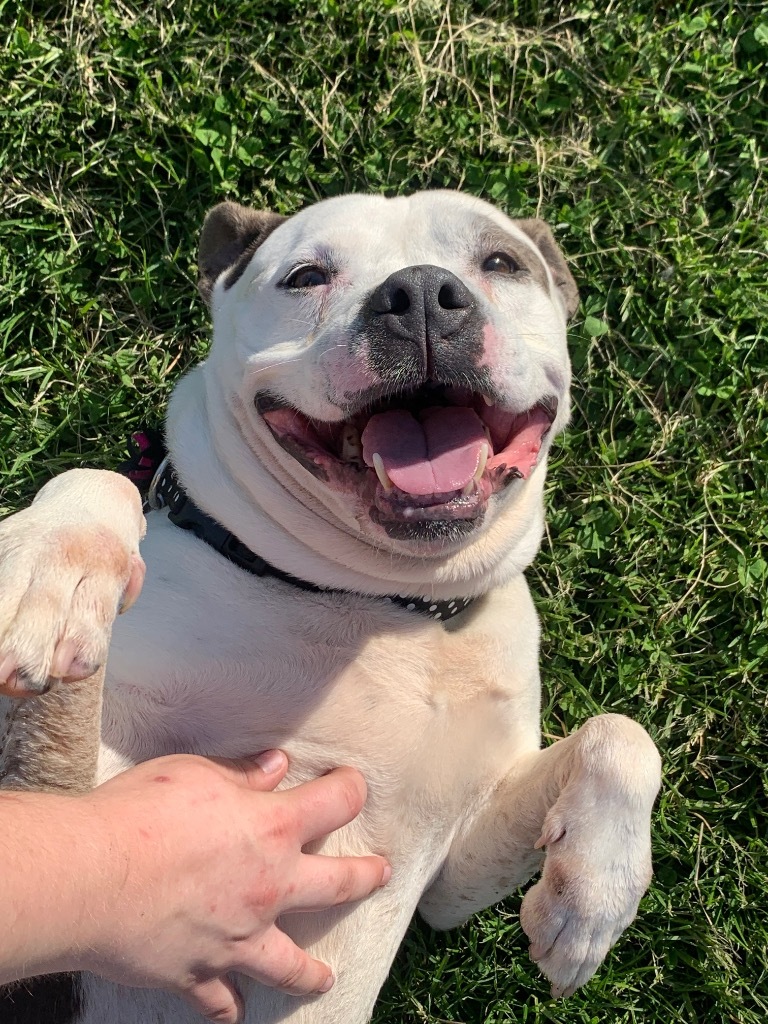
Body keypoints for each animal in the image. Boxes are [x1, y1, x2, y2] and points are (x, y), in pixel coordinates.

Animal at [0, 188, 663, 1019]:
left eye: (501, 261)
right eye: (306, 276)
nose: (420, 294)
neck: (388, 604)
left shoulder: (453, 866)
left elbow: (624, 736)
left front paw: (592, 904)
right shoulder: (81, 796)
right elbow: (102, 481)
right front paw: (49, 568)